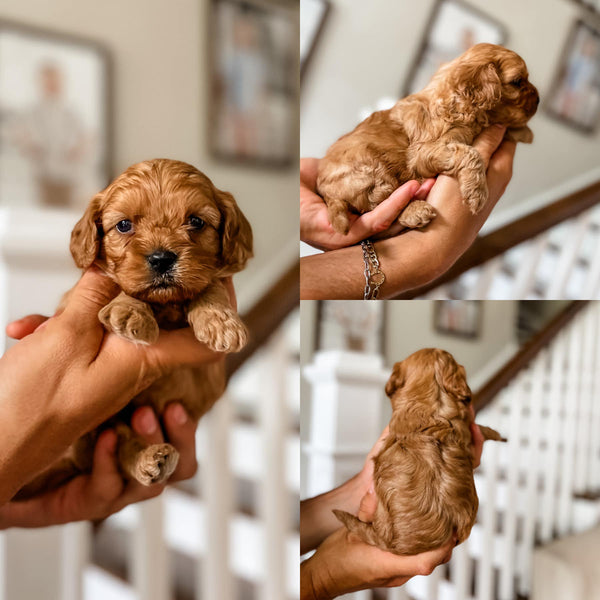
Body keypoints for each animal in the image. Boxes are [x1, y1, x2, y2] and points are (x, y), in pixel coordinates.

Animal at [18, 159, 253, 496]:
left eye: (196, 221)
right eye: (124, 225)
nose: (161, 258)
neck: (165, 306)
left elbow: (209, 285)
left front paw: (221, 323)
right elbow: (123, 286)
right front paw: (130, 312)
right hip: (99, 427)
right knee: (120, 446)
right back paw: (148, 459)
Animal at [318, 41, 540, 234]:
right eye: (517, 82)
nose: (538, 100)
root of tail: (325, 190)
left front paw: (525, 132)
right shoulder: (424, 151)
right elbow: (471, 153)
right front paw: (477, 193)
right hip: (372, 171)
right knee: (381, 202)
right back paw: (415, 211)